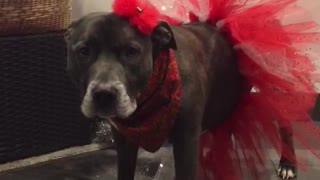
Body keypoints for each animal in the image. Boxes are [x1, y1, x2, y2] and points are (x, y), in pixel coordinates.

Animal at [65, 12, 298, 179]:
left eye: (132, 52)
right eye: (83, 51)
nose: (104, 94)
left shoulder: (185, 140)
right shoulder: (124, 142)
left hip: (276, 87)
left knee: (286, 124)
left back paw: (288, 164)